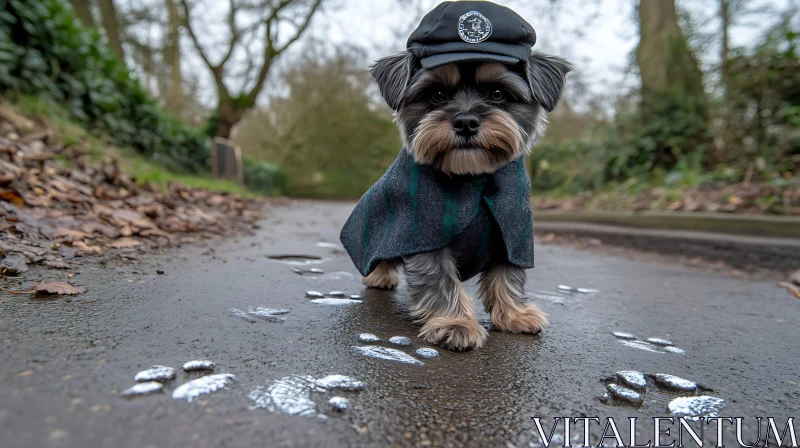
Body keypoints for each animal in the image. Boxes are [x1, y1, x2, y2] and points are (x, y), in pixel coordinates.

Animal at [340, 0, 572, 350]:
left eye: (497, 93)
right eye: (436, 95)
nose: (465, 122)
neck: (473, 178)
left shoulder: (512, 232)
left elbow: (508, 275)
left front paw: (515, 314)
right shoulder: (424, 234)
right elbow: (441, 282)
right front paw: (456, 323)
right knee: (381, 256)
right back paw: (379, 276)